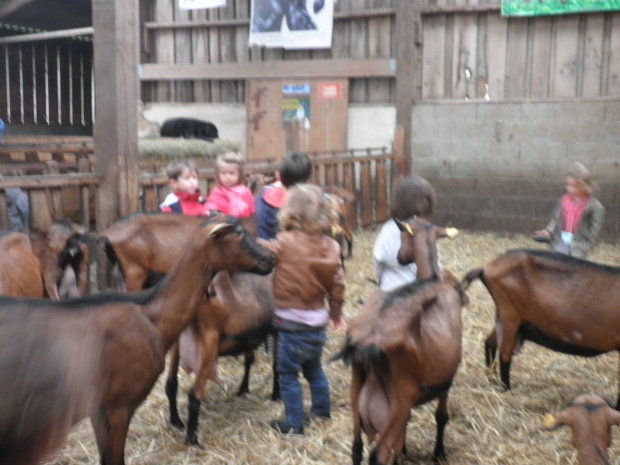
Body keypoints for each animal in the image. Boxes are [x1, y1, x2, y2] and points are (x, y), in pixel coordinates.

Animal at [336, 218, 462, 464]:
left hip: (358, 391)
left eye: (402, 236)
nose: (400, 256)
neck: (432, 278)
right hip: (399, 400)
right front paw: (439, 452)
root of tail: (368, 342)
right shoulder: (445, 380)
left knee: (356, 447)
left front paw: (404, 451)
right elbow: (441, 415)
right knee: (378, 455)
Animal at [460, 248, 620, 404]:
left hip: (509, 319)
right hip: (510, 314)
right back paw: (507, 390)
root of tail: (486, 268)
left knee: (490, 343)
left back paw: (492, 381)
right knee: (504, 353)